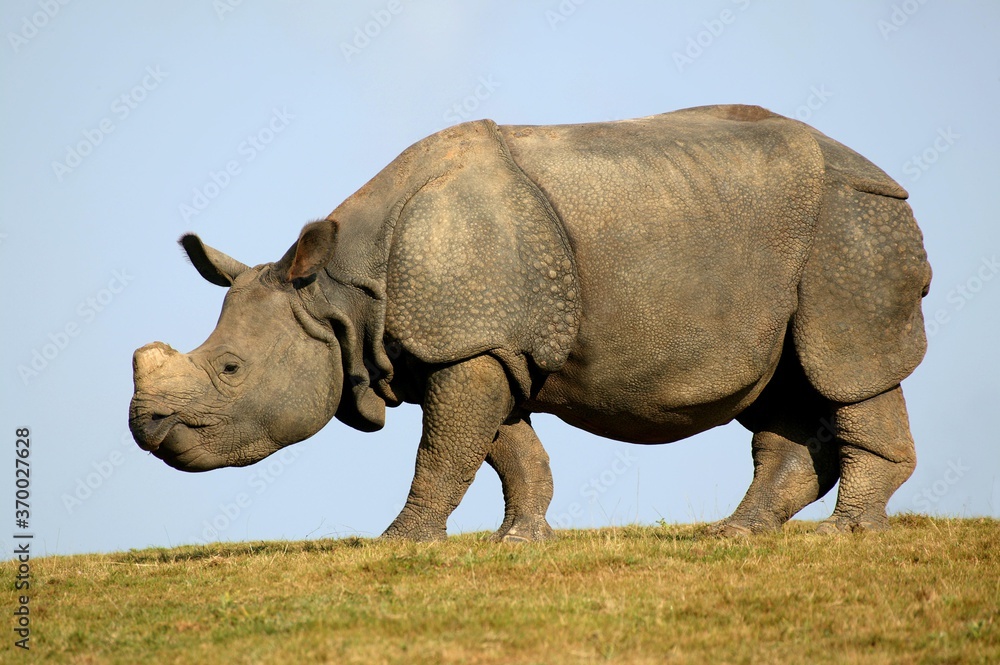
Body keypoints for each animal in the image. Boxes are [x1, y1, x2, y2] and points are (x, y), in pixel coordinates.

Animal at [129, 104, 931, 541]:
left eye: (231, 368)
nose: (146, 427)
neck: (335, 299)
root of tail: (881, 173)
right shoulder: (475, 346)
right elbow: (505, 449)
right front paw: (521, 537)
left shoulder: (467, 341)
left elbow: (443, 451)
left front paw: (399, 541)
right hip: (786, 238)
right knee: (783, 387)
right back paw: (738, 533)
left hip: (851, 223)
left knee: (847, 366)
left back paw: (849, 532)